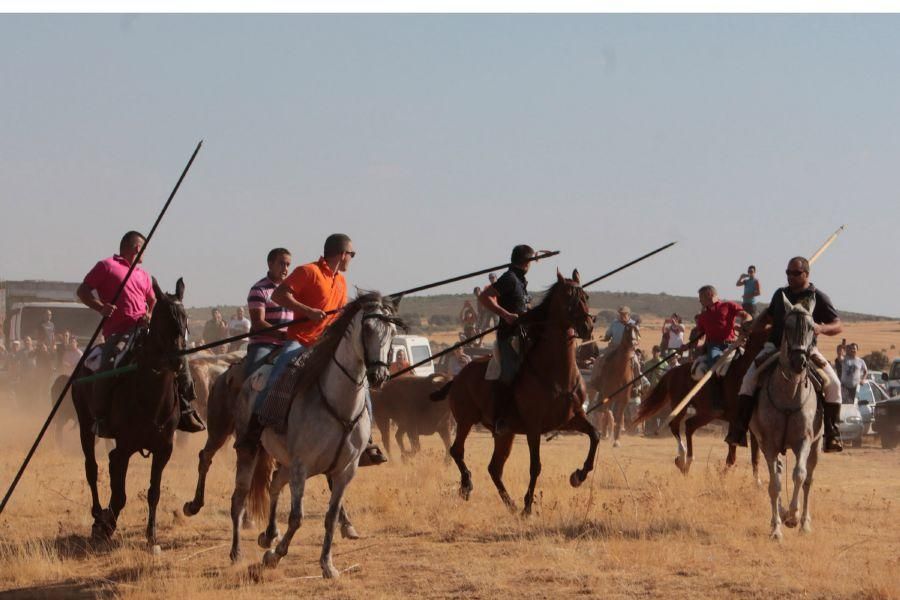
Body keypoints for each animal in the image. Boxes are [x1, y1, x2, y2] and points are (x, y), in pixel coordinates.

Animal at [71, 278, 188, 552]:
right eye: (163, 319)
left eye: (185, 318)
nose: (177, 361)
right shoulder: (125, 446)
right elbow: (120, 492)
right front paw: (105, 526)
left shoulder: (164, 449)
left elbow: (153, 492)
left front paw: (151, 535)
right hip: (85, 424)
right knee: (92, 468)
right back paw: (97, 514)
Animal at [229, 292, 400, 580]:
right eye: (366, 328)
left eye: (392, 330)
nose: (378, 375)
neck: (338, 404)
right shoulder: (302, 466)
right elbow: (297, 517)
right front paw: (274, 556)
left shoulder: (345, 470)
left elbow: (331, 517)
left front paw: (328, 565)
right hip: (250, 451)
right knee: (239, 500)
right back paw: (236, 552)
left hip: (286, 463)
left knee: (274, 485)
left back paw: (269, 534)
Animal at [432, 272, 600, 516]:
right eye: (568, 297)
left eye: (586, 296)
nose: (587, 326)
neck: (558, 374)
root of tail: (458, 377)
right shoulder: (533, 428)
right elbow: (535, 466)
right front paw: (528, 507)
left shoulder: (571, 419)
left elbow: (595, 435)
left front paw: (579, 475)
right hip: (466, 421)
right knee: (457, 451)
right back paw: (467, 485)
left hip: (505, 434)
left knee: (494, 467)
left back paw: (510, 504)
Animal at [752, 292, 824, 540]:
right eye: (788, 326)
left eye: (812, 327)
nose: (799, 361)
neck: (789, 394)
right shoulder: (769, 444)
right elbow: (774, 484)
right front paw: (777, 527)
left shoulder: (804, 440)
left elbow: (799, 475)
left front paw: (793, 516)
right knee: (779, 474)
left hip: (817, 445)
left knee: (809, 480)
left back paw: (804, 523)